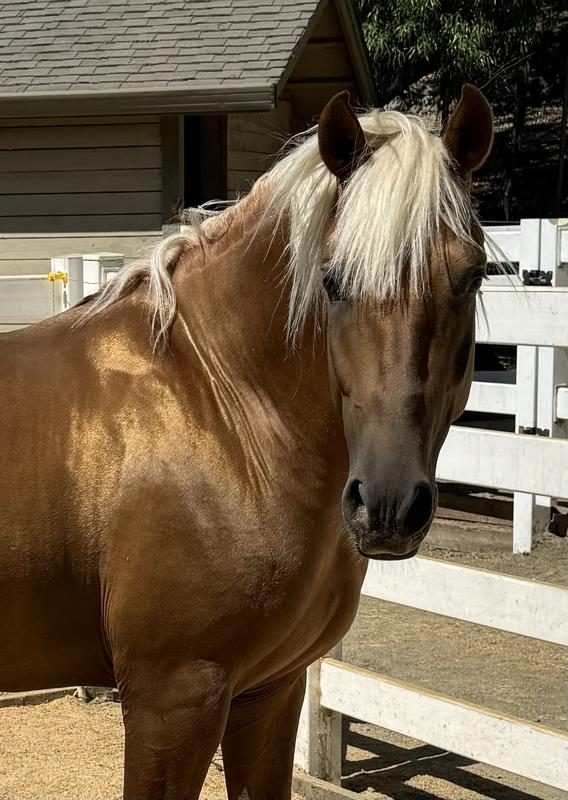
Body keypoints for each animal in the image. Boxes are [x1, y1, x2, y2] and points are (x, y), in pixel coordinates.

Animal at [0, 85, 493, 799]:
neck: (219, 408)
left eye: (473, 276)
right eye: (332, 280)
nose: (388, 507)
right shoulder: (172, 702)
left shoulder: (270, 693)